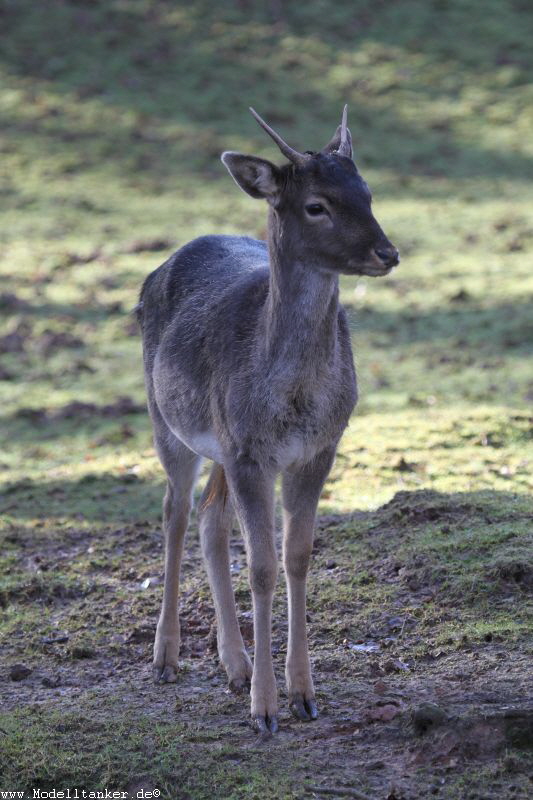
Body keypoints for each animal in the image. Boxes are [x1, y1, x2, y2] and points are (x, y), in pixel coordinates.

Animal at [137, 108, 400, 736]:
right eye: (316, 205)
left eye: (367, 192)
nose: (387, 252)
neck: (294, 398)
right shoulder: (250, 453)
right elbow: (259, 566)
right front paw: (266, 709)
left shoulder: (317, 448)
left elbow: (296, 556)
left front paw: (303, 694)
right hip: (168, 421)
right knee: (175, 513)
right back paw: (166, 657)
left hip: (221, 442)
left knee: (210, 518)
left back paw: (232, 665)